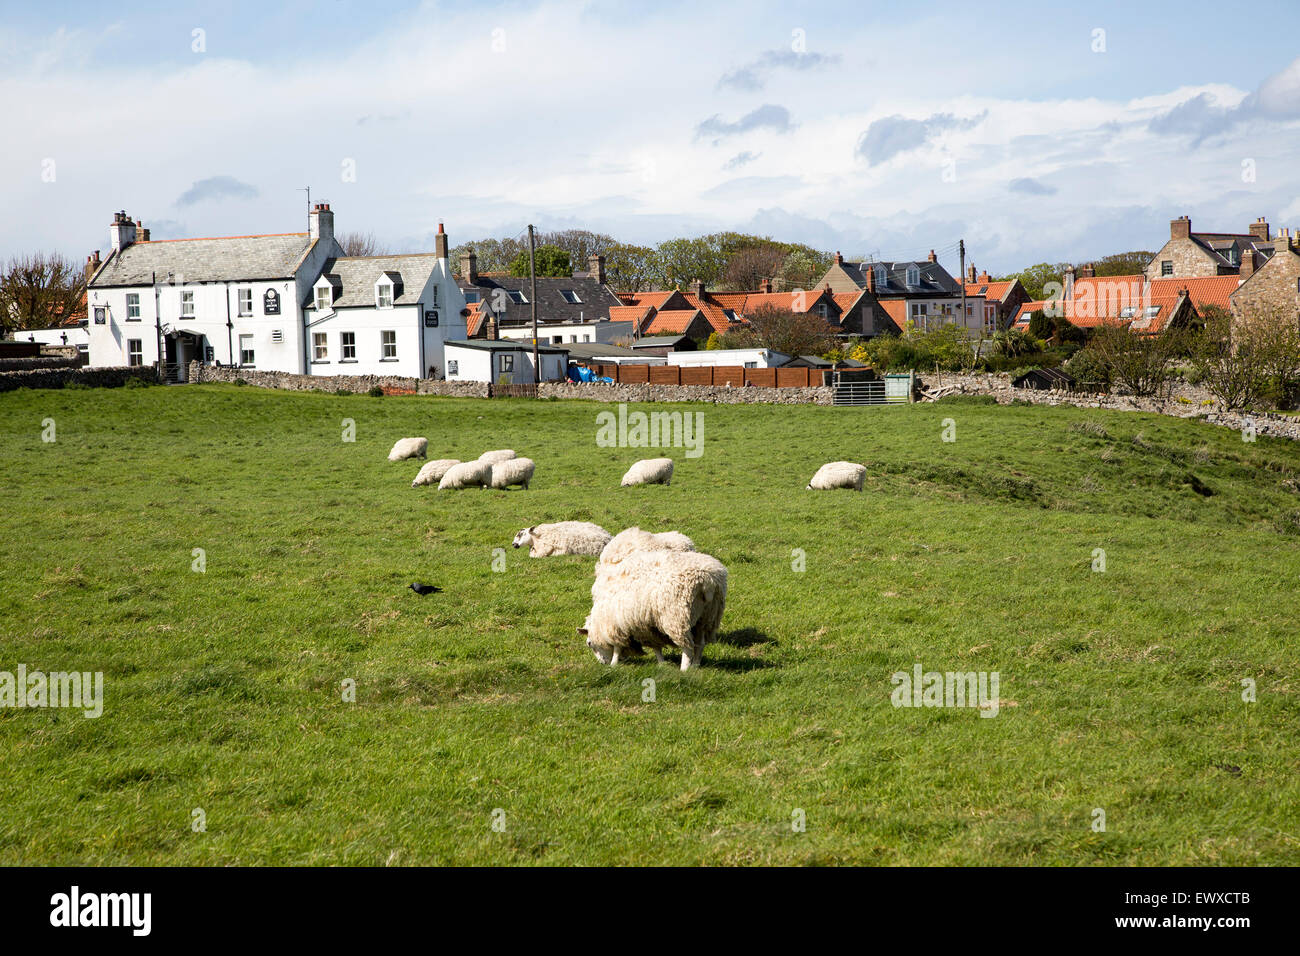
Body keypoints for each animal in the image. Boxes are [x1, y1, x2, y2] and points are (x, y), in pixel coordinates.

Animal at [582, 546, 728, 671]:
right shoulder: (648, 625)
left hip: (677, 618)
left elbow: (618, 647)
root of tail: (708, 580)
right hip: (707, 616)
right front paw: (662, 663)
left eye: (589, 643)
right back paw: (696, 666)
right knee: (700, 643)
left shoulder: (618, 624)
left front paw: (614, 663)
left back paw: (684, 669)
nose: (603, 663)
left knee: (688, 647)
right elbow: (656, 647)